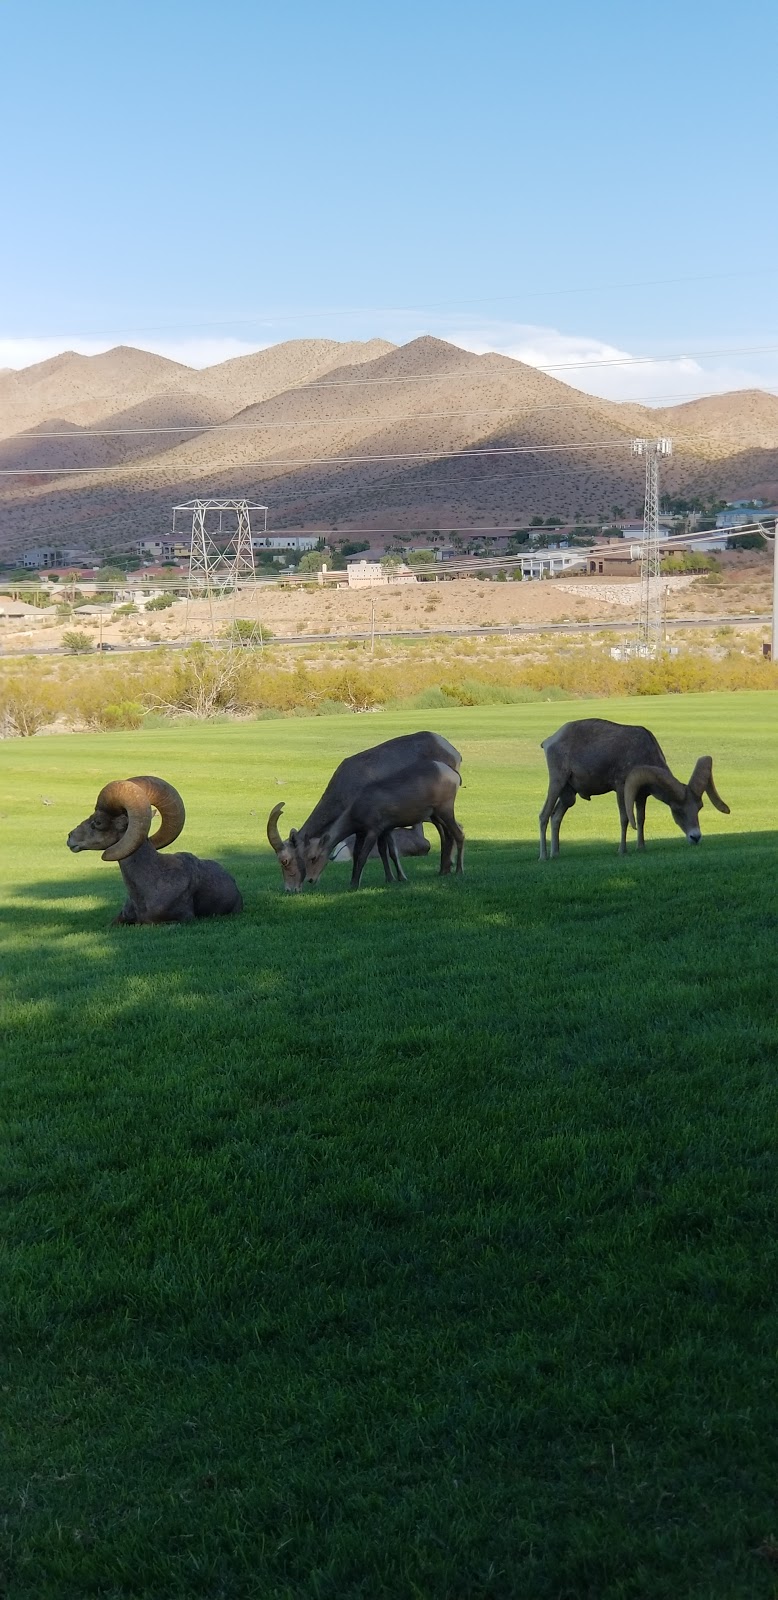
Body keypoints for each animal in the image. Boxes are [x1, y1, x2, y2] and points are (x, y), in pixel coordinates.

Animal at [302, 758, 461, 896]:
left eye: (313, 857)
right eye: (304, 857)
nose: (310, 879)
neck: (354, 816)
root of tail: (455, 775)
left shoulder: (374, 828)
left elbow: (364, 856)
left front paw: (356, 885)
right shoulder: (369, 830)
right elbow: (368, 853)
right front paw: (390, 879)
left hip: (445, 807)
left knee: (458, 833)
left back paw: (458, 869)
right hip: (437, 813)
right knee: (449, 834)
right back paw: (445, 869)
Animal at [541, 720, 729, 857]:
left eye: (699, 807)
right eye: (677, 810)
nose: (695, 837)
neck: (643, 751)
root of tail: (550, 741)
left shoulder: (641, 796)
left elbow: (640, 819)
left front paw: (641, 847)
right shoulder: (621, 789)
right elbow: (625, 819)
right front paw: (622, 851)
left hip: (568, 795)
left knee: (556, 817)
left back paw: (555, 854)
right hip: (557, 783)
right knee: (544, 815)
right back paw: (543, 857)